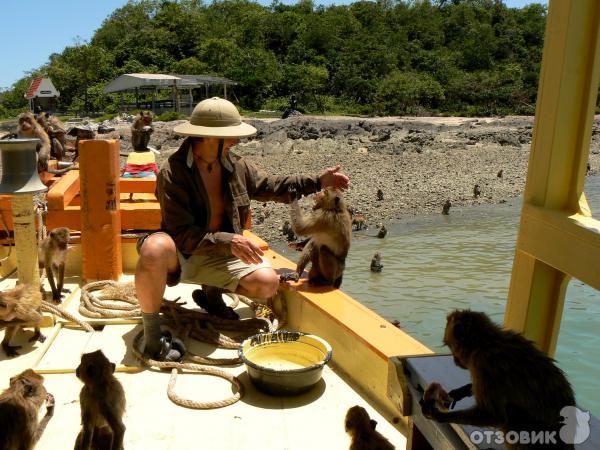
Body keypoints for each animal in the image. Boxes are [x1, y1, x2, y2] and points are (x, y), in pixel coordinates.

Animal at [420, 310, 576, 450]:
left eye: (450, 346)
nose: (454, 360)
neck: (487, 342)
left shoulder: (484, 363)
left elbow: (493, 415)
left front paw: (437, 415)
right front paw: (462, 391)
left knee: (511, 414)